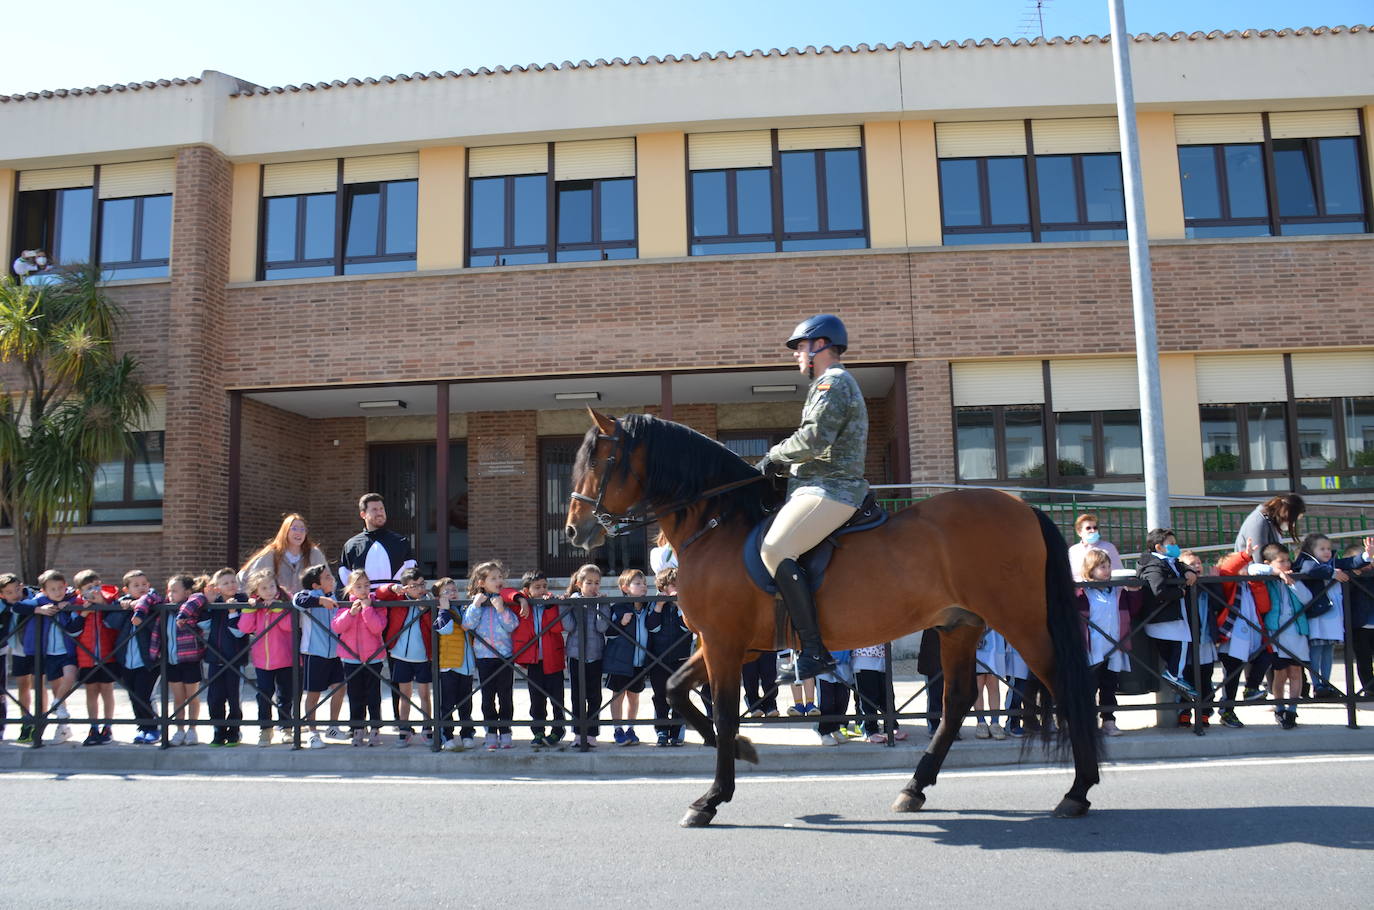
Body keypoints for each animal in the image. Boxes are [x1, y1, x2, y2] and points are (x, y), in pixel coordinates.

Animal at [563, 412, 1099, 824]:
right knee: (957, 701)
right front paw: (742, 752)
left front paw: (712, 797)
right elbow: (677, 691)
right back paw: (914, 788)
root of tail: (1021, 506)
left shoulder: (724, 643)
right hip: (959, 625)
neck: (718, 524)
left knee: (1065, 685)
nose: (574, 529)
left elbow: (721, 709)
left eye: (600, 460)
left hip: (1020, 619)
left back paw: (1077, 792)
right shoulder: (723, 643)